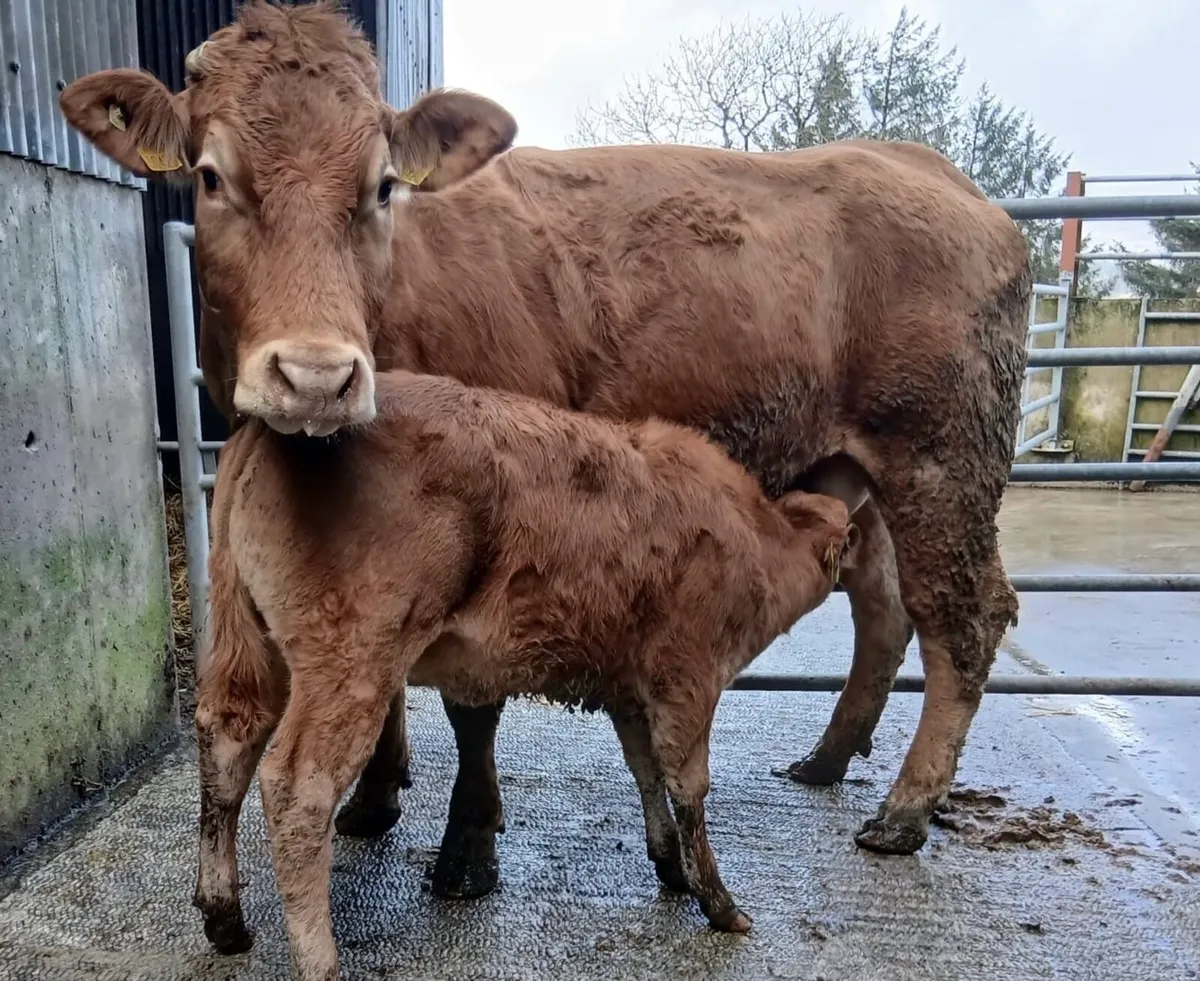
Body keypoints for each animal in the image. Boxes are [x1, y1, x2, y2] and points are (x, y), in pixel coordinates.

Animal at [59, 0, 1029, 908]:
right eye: (211, 176)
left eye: (383, 185)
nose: (315, 377)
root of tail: (931, 170)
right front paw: (375, 796)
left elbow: (471, 703)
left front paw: (467, 849)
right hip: (860, 470)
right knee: (883, 605)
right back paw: (828, 759)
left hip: (943, 456)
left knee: (963, 616)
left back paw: (904, 809)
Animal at [202, 364, 860, 977]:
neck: (755, 538)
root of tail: (265, 429)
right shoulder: (687, 676)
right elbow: (688, 785)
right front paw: (719, 902)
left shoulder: (630, 685)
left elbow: (645, 768)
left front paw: (669, 863)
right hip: (353, 655)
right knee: (299, 787)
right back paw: (319, 959)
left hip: (250, 642)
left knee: (228, 741)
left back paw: (224, 919)